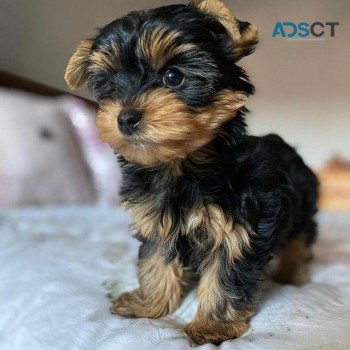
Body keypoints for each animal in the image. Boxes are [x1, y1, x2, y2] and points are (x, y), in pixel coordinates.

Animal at [64, 0, 318, 344]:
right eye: (111, 86)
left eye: (173, 76)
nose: (125, 117)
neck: (180, 164)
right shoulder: (158, 224)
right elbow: (156, 263)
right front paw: (148, 304)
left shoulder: (236, 228)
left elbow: (226, 278)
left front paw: (212, 326)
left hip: (301, 206)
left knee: (301, 239)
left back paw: (293, 274)